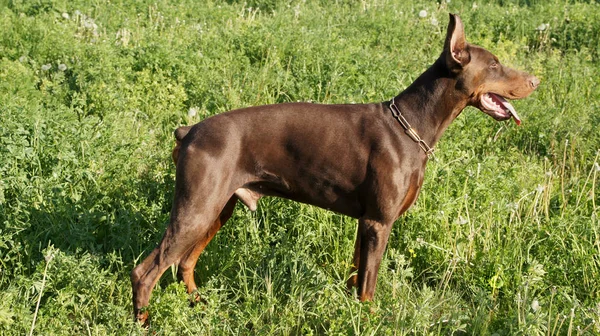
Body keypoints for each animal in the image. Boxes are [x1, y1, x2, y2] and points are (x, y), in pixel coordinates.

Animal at [130, 13, 540, 322]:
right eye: (494, 64)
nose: (536, 80)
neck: (411, 125)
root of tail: (189, 131)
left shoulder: (366, 223)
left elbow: (357, 277)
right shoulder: (379, 222)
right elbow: (369, 288)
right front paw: (369, 321)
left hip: (218, 209)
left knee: (184, 264)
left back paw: (200, 306)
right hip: (196, 209)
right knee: (146, 271)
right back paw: (145, 323)